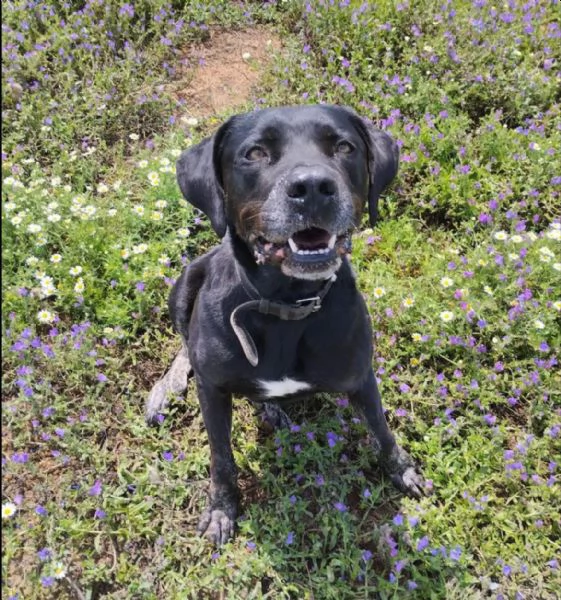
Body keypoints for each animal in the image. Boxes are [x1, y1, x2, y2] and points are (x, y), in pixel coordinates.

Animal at [145, 105, 424, 548]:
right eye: (255, 153)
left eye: (344, 146)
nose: (312, 187)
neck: (286, 304)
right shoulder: (212, 388)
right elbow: (220, 456)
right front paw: (221, 510)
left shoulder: (361, 376)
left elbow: (382, 428)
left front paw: (402, 468)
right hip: (185, 281)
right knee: (184, 343)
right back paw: (166, 389)